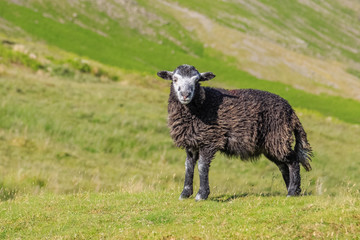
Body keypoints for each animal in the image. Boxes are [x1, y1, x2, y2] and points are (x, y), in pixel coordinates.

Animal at [158, 63, 312, 201]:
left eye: (197, 80)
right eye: (175, 79)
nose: (185, 95)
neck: (200, 107)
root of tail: (291, 111)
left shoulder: (210, 139)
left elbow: (202, 166)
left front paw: (201, 195)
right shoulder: (192, 143)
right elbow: (188, 166)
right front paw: (185, 194)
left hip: (278, 137)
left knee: (293, 162)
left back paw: (292, 191)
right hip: (272, 144)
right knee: (283, 166)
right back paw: (293, 190)